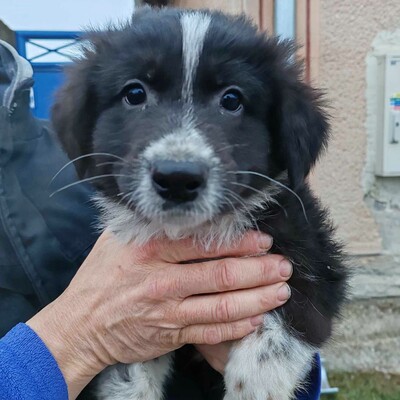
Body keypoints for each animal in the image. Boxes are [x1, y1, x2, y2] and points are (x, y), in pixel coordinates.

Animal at [51, 7, 348, 400]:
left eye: (232, 100)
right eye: (134, 93)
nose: (177, 178)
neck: (198, 233)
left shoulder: (316, 257)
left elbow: (292, 314)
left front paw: (255, 384)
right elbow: (132, 362)